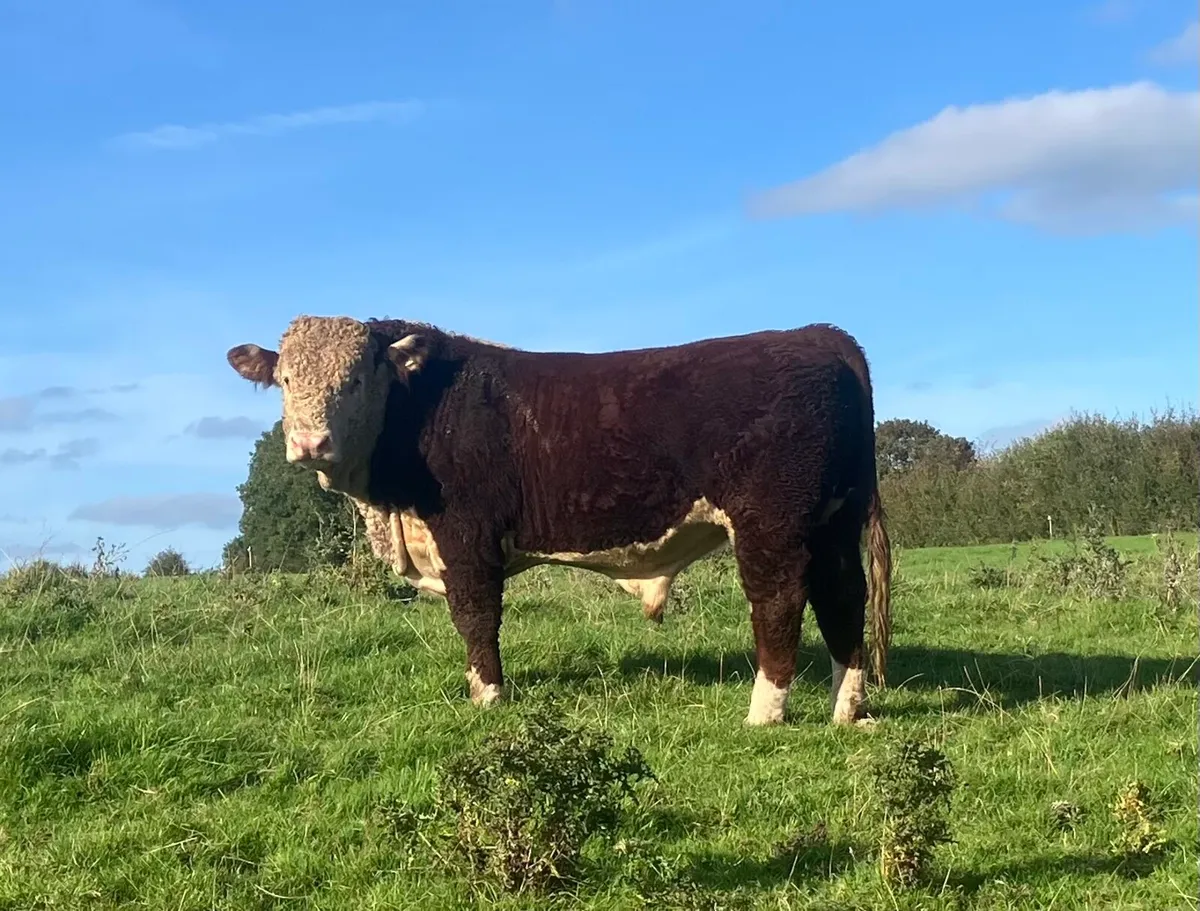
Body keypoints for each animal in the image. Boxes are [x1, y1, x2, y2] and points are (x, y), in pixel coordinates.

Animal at [226, 315, 892, 726]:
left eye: (357, 377)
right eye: (285, 378)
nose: (309, 443)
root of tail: (817, 336)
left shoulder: (467, 537)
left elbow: (477, 619)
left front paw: (488, 696)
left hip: (770, 522)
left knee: (779, 601)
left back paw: (764, 712)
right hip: (833, 522)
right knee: (842, 598)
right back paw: (847, 708)